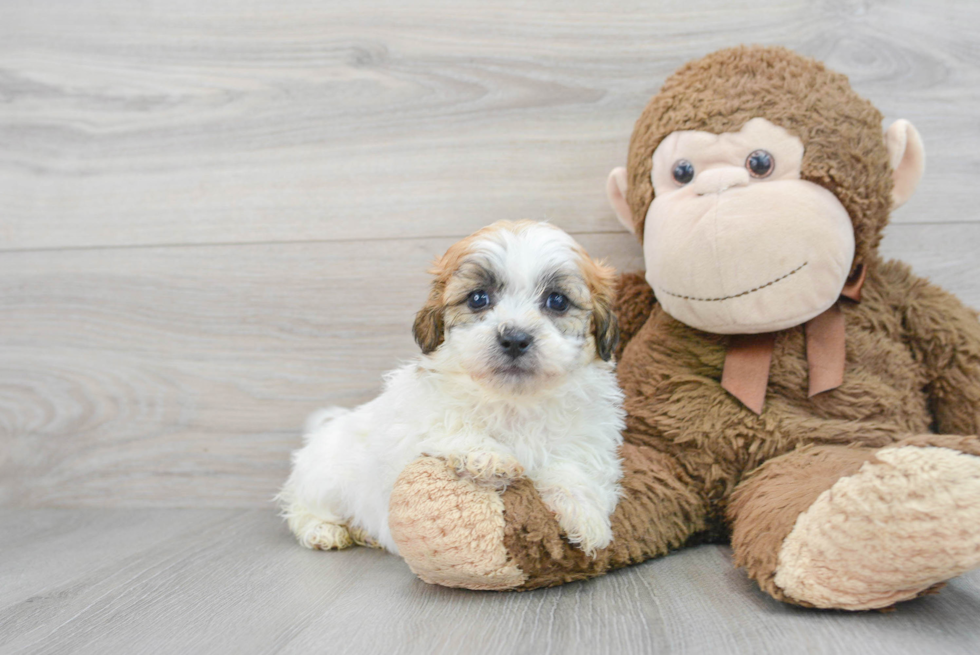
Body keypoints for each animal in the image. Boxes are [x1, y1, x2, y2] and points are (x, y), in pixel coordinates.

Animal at [280, 222, 624, 560]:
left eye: (557, 301)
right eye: (478, 298)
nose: (514, 338)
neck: (512, 402)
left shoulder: (584, 442)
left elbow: (570, 467)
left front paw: (585, 515)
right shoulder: (415, 418)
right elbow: (447, 422)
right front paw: (489, 456)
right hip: (325, 479)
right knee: (301, 508)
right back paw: (323, 530)